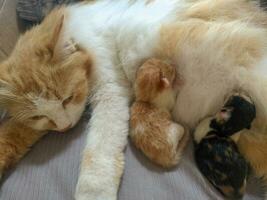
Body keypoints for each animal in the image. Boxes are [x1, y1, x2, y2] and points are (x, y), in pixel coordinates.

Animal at [1, 0, 267, 200]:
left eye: (68, 98)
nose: (66, 127)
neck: (83, 33)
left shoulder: (111, 90)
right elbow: (13, 133)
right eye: (39, 116)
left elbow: (98, 153)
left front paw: (93, 193)